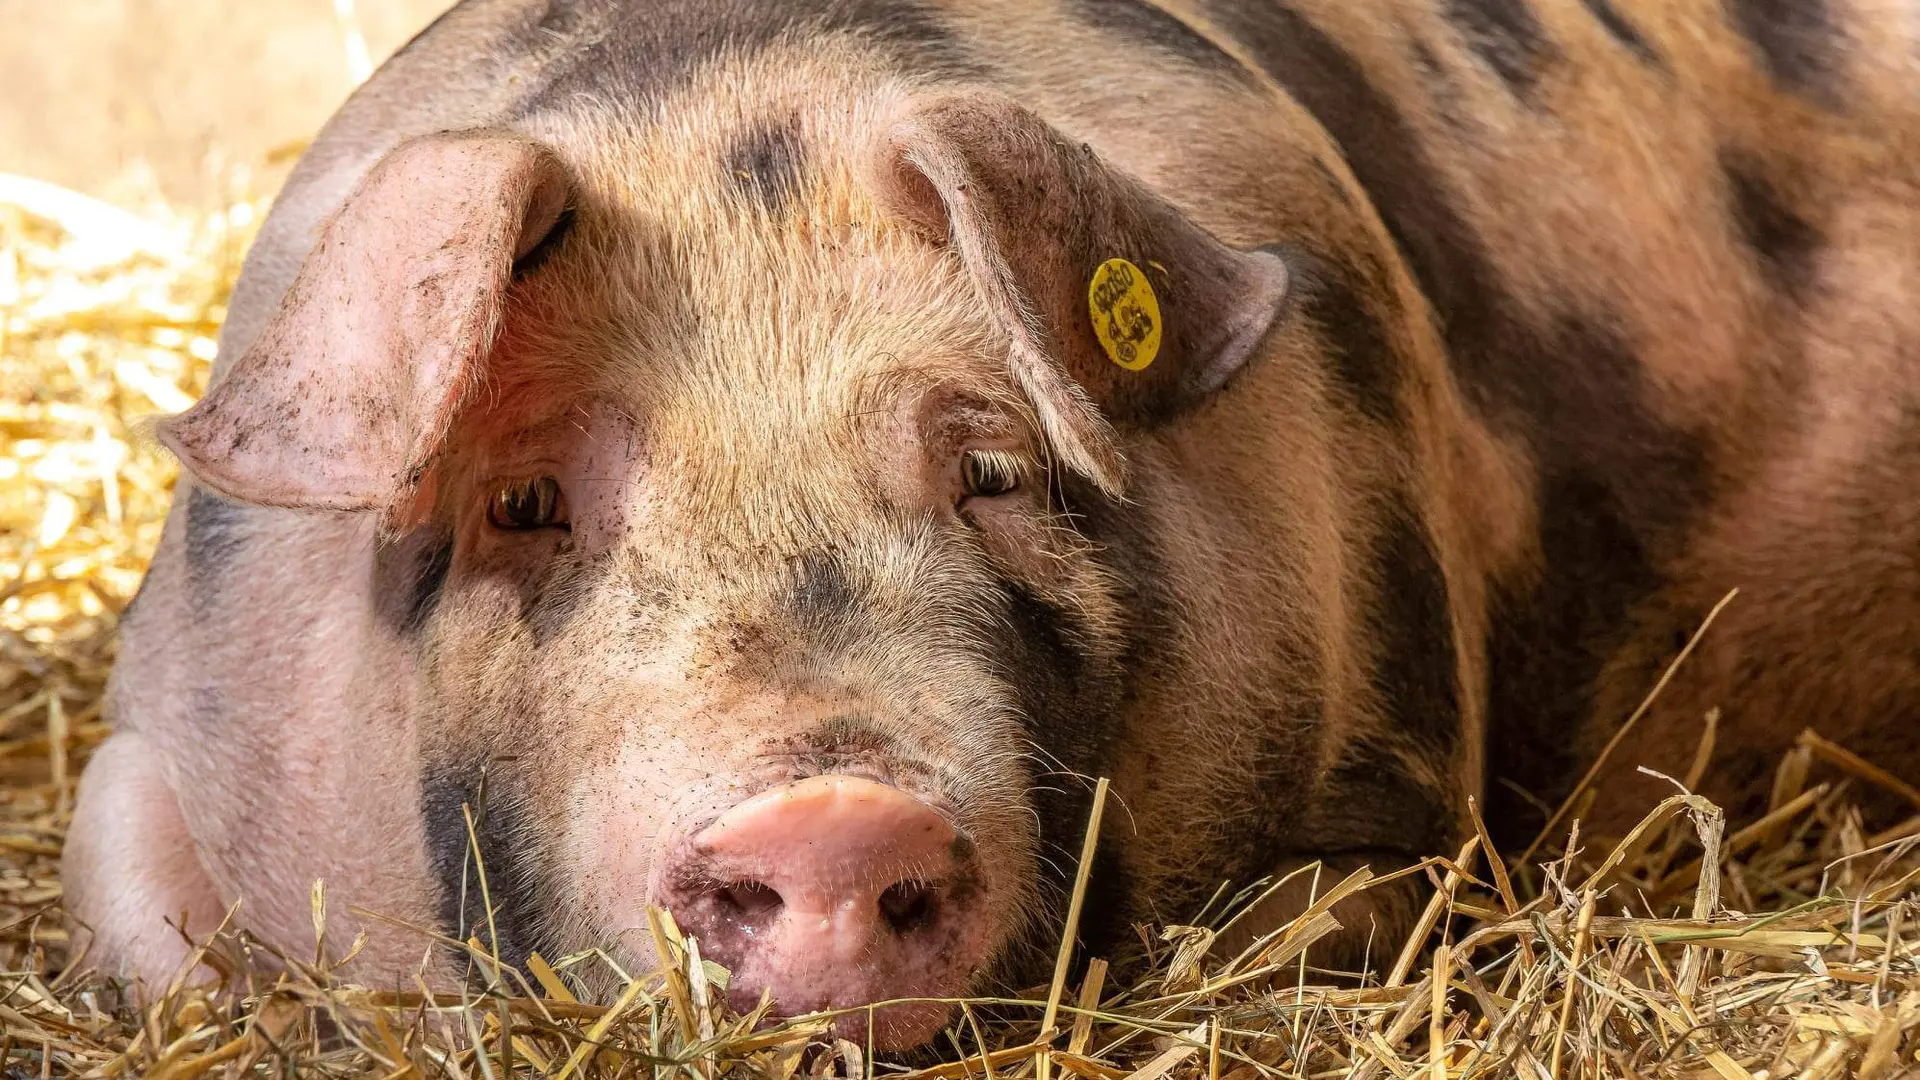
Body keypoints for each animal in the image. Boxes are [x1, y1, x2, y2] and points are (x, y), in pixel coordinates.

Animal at [60, 0, 1920, 1053]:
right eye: (523, 502)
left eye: (995, 470)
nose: (830, 815)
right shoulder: (156, 733)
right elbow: (144, 912)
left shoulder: (1409, 775)